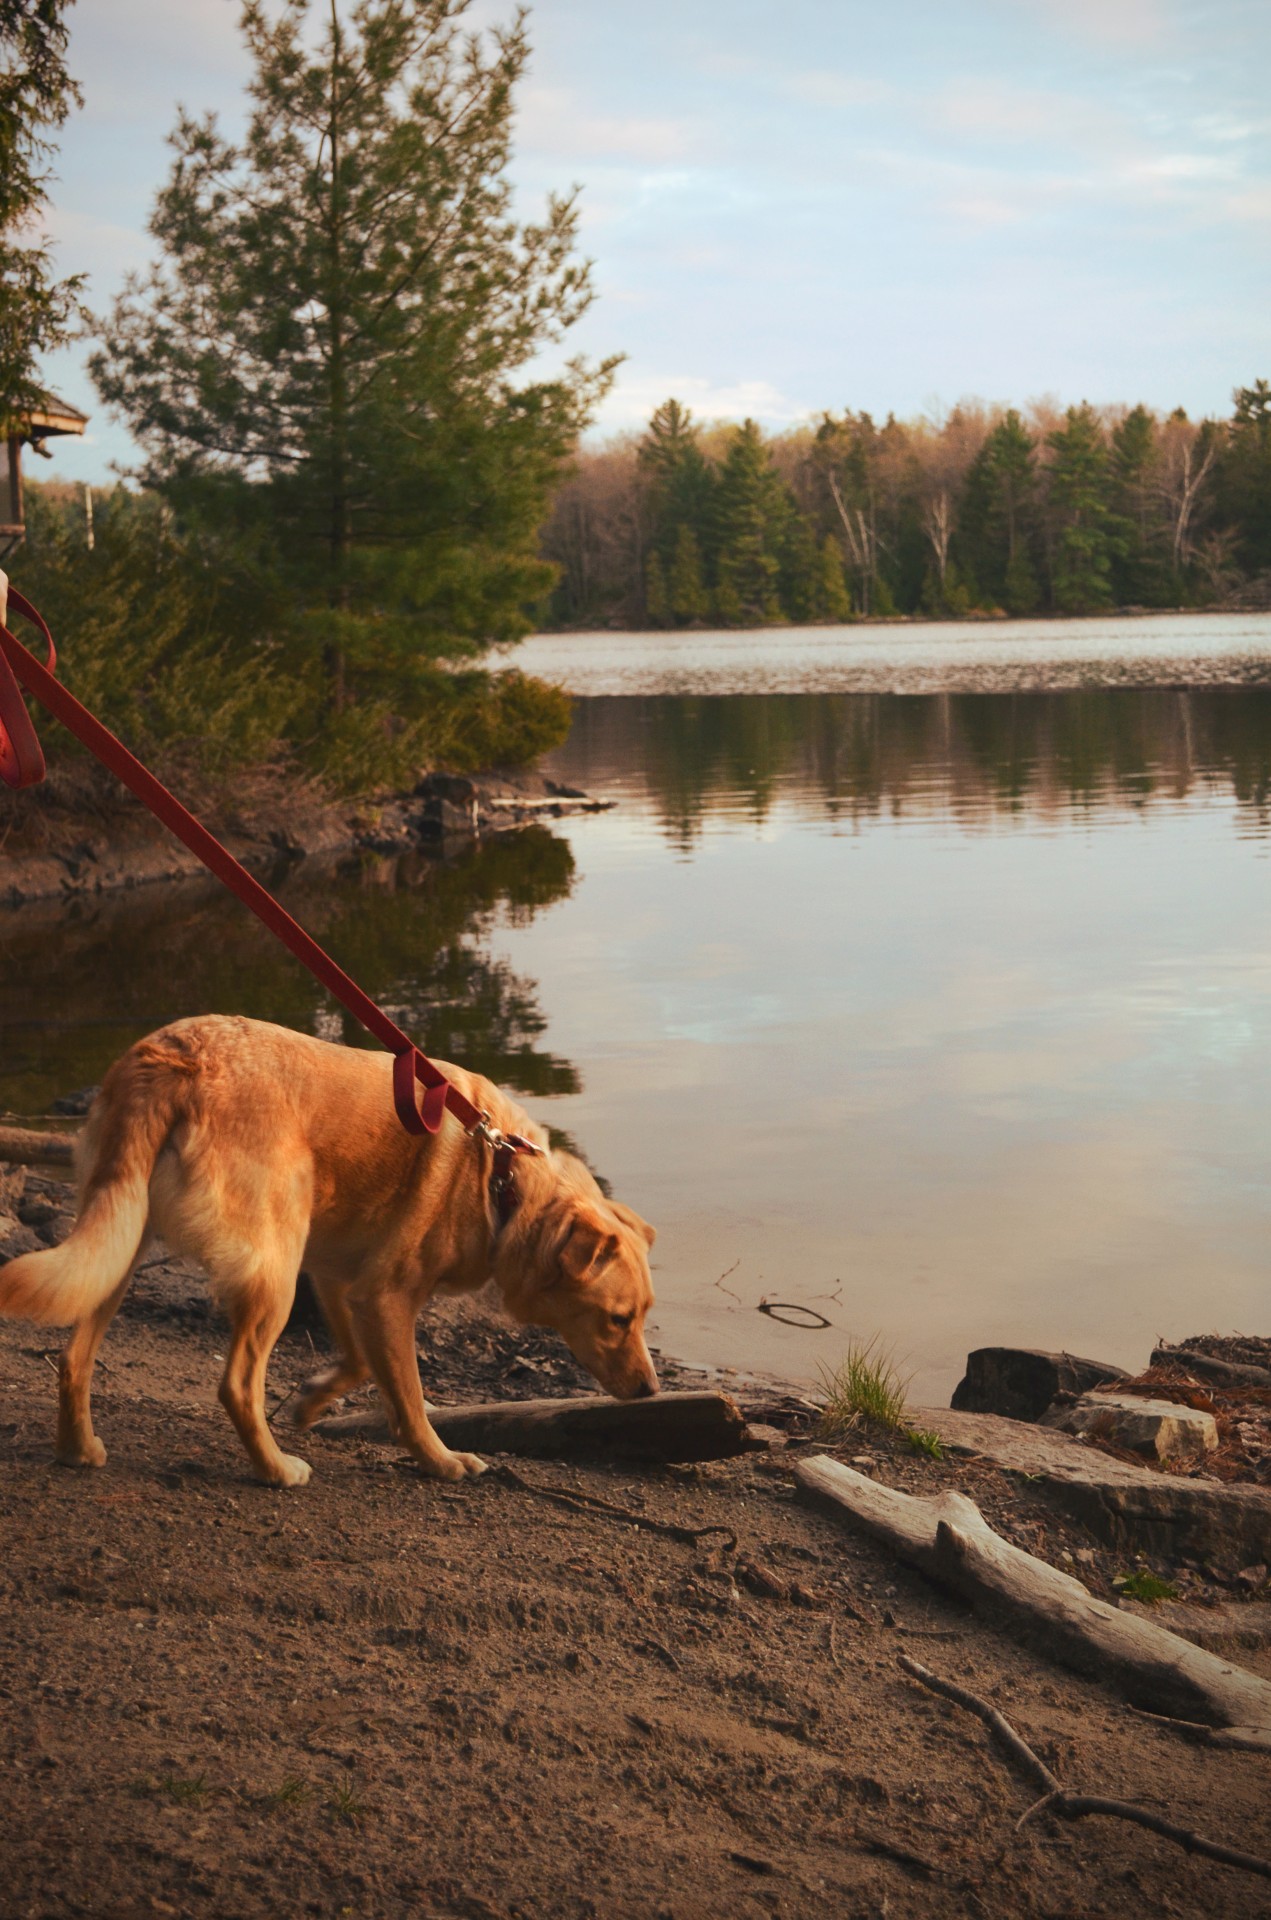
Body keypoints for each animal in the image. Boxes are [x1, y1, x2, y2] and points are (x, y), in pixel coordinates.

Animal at [0, 1021, 656, 1482]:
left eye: (645, 1317)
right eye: (618, 1319)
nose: (652, 1392)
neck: (503, 1177)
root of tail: (176, 1060)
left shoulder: (343, 1282)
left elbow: (364, 1363)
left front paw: (313, 1401)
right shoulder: (385, 1295)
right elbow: (411, 1398)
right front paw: (441, 1461)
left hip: (121, 1246)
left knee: (74, 1357)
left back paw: (77, 1449)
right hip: (274, 1276)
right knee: (238, 1385)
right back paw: (275, 1471)